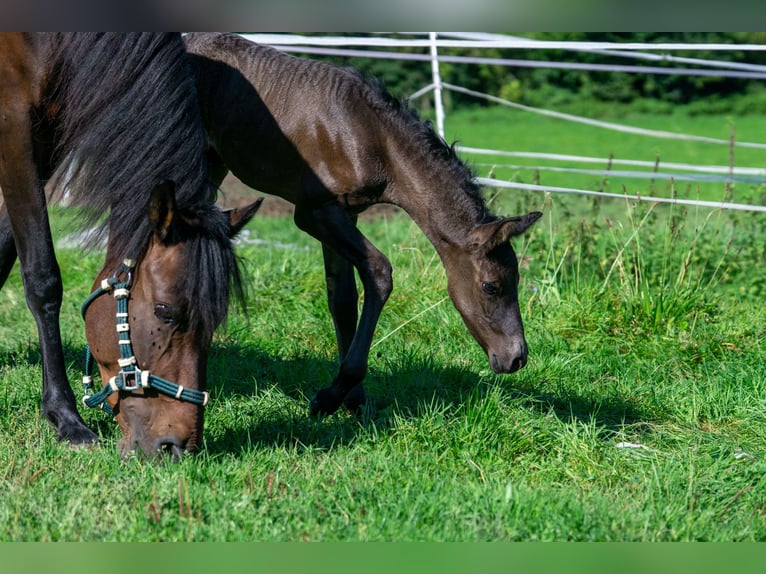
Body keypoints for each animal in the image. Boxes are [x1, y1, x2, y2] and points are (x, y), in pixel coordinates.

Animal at [0, 33, 260, 462]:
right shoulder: (14, 121)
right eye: (164, 312)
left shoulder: (45, 131)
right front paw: (65, 418)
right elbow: (42, 276)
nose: (178, 448)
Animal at [184, 32, 544, 418]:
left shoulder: (347, 212)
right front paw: (333, 395)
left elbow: (342, 298)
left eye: (517, 280)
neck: (371, 138)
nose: (517, 357)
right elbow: (378, 272)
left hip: (214, 162)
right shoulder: (314, 212)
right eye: (491, 286)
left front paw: (351, 398)